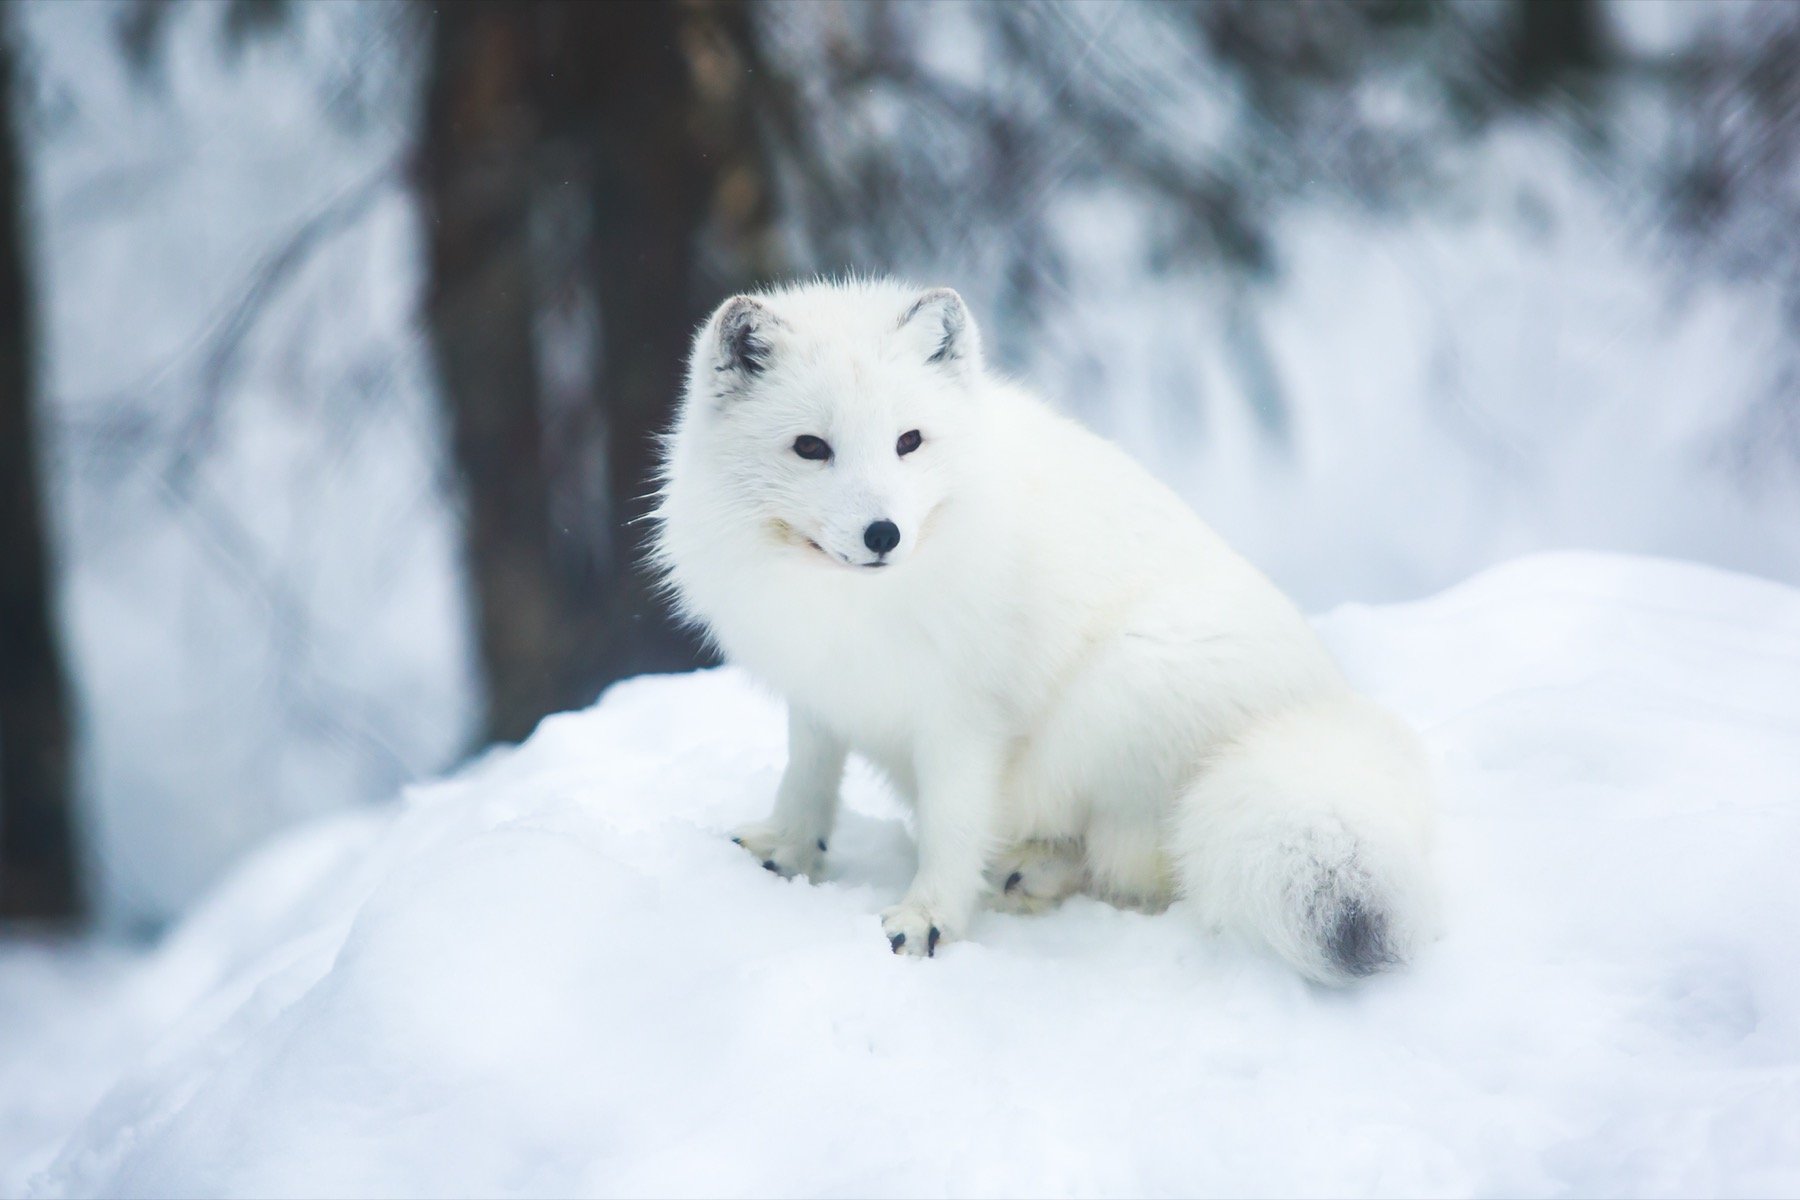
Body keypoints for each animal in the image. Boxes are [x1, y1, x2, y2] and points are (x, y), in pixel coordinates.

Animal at [658, 282, 1432, 985]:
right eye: (810, 447)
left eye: (909, 441)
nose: (883, 533)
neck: (852, 605)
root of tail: (1318, 713)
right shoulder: (818, 690)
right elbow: (807, 780)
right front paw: (787, 852)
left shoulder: (965, 720)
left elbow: (952, 827)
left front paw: (928, 920)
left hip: (1120, 692)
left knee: (1142, 871)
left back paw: (1031, 871)